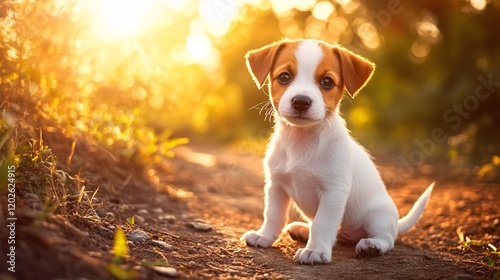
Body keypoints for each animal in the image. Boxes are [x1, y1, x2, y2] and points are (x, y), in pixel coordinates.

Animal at [239, 38, 434, 264]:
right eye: (284, 77)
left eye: (327, 82)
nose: (301, 101)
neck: (301, 142)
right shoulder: (276, 185)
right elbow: (273, 215)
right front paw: (264, 236)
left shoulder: (334, 192)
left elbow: (322, 223)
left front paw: (315, 251)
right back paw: (302, 229)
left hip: (378, 215)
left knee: (386, 238)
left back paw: (372, 245)